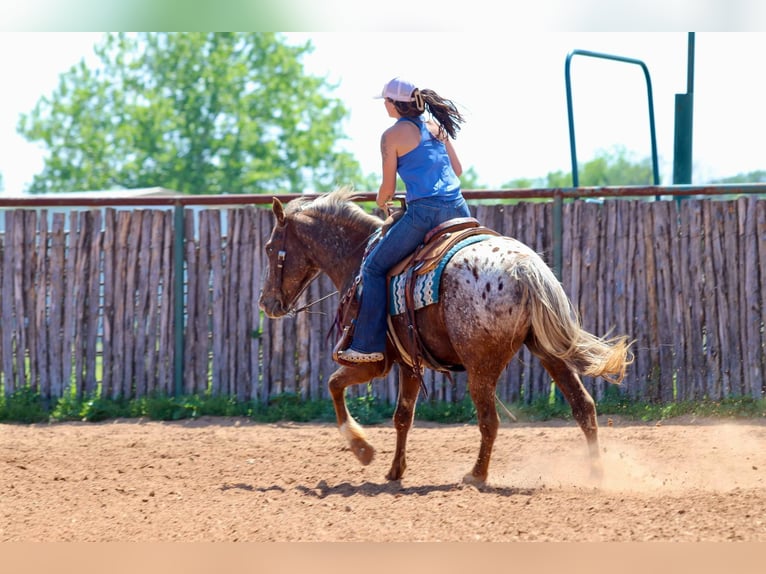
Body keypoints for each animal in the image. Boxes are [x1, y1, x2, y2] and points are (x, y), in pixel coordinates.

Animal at [258, 188, 632, 485]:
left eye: (270, 247)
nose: (266, 303)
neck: (357, 259)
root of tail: (523, 269)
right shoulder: (409, 363)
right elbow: (402, 416)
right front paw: (395, 471)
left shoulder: (374, 362)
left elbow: (335, 385)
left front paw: (362, 449)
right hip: (548, 351)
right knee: (583, 406)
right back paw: (597, 473)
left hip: (482, 367)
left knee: (490, 420)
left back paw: (476, 475)